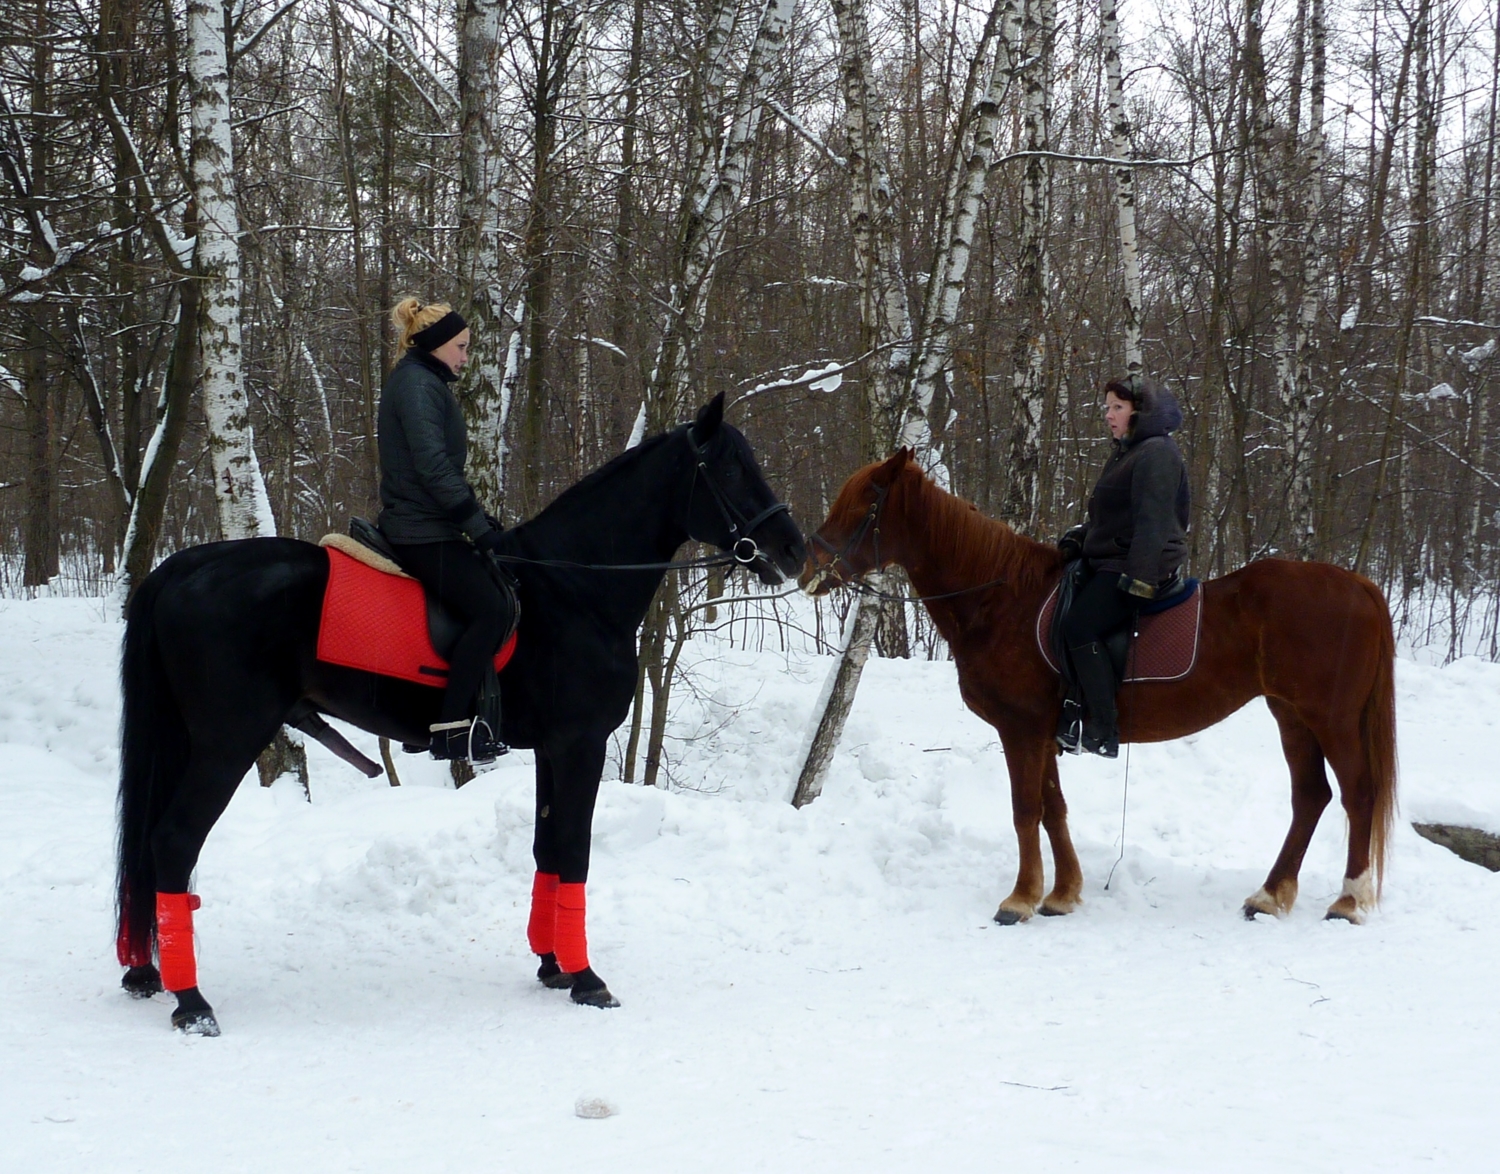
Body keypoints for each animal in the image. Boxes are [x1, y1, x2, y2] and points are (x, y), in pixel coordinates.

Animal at [114, 395, 810, 1037]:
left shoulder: (553, 749)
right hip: (226, 743)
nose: (794, 548)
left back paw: (146, 972)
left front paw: (552, 966)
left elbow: (547, 850)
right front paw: (587, 978)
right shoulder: (580, 743)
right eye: (731, 468)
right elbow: (574, 852)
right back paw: (192, 1002)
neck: (574, 590)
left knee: (150, 846)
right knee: (173, 841)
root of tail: (185, 566)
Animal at [804, 449, 1398, 929]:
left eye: (866, 505)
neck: (1002, 601)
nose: (808, 566)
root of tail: (1359, 585)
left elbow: (1025, 809)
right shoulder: (1045, 732)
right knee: (1311, 797)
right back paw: (1270, 896)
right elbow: (1053, 809)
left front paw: (1020, 899)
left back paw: (1347, 902)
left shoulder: (1021, 729)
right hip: (1291, 715)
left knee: (1358, 795)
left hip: (1330, 718)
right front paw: (1062, 894)